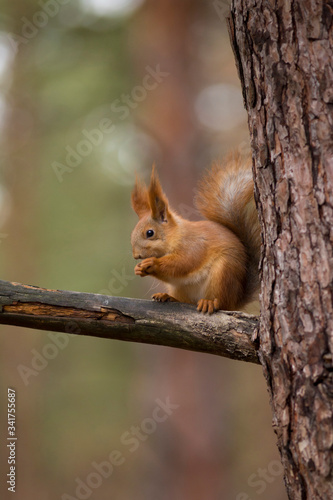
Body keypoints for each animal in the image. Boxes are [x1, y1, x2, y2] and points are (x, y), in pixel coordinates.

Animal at [130, 154, 260, 314]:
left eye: (150, 233)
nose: (136, 256)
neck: (176, 235)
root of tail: (237, 299)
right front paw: (138, 268)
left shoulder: (194, 245)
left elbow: (185, 262)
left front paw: (153, 263)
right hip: (180, 288)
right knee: (187, 301)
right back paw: (167, 296)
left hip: (223, 273)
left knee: (222, 303)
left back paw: (209, 302)